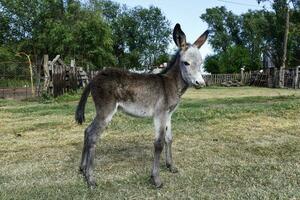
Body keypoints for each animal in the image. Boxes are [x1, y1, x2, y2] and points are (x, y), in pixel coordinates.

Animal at [75, 23, 209, 188]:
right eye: (186, 63)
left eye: (201, 63)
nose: (200, 83)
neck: (170, 84)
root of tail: (94, 78)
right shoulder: (160, 114)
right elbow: (159, 143)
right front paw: (156, 179)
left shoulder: (168, 114)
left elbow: (169, 139)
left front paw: (171, 166)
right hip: (106, 111)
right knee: (93, 135)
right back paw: (90, 178)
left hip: (101, 112)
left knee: (87, 131)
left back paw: (82, 168)